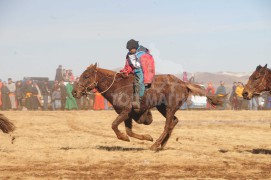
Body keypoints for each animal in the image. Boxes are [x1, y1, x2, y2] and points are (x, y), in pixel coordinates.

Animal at [73, 63, 225, 150]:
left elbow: (114, 125)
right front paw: (146, 137)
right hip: (162, 107)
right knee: (174, 122)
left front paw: (123, 137)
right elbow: (129, 131)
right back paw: (161, 144)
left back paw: (155, 145)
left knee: (168, 125)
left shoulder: (125, 111)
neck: (117, 86)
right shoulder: (128, 114)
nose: (74, 91)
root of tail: (183, 83)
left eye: (86, 76)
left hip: (170, 107)